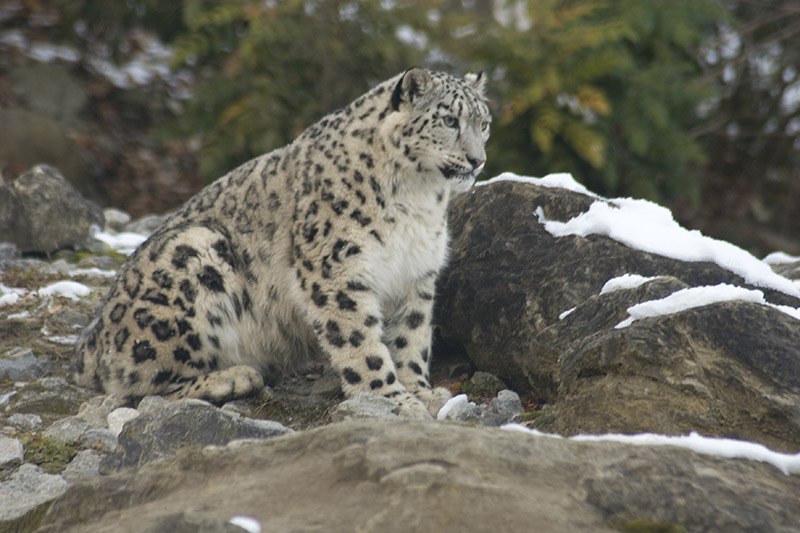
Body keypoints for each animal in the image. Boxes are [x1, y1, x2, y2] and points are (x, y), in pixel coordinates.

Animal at [71, 68, 490, 418]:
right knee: (141, 383)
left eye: (483, 123)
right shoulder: (337, 270)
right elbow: (360, 342)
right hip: (193, 256)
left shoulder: (416, 274)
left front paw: (420, 391)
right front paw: (391, 398)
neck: (419, 198)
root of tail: (90, 342)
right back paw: (233, 377)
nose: (478, 160)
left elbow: (411, 337)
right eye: (449, 120)